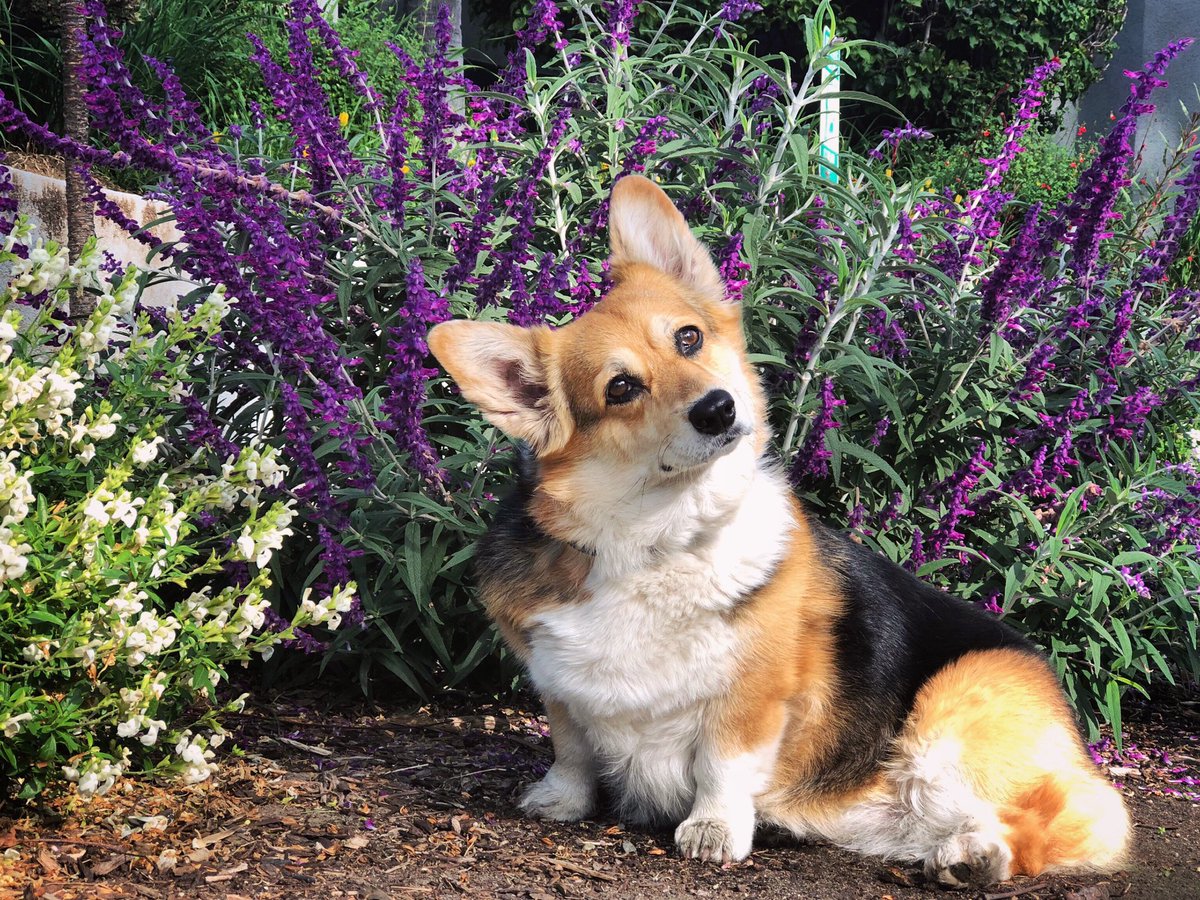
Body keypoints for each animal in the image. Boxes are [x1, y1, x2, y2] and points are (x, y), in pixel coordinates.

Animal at [427, 172, 1128, 883]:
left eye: (688, 338)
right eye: (621, 387)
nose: (717, 408)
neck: (658, 541)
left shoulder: (753, 701)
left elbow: (722, 766)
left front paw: (712, 830)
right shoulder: (557, 685)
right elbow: (571, 751)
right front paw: (561, 800)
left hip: (950, 710)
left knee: (1074, 821)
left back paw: (976, 856)